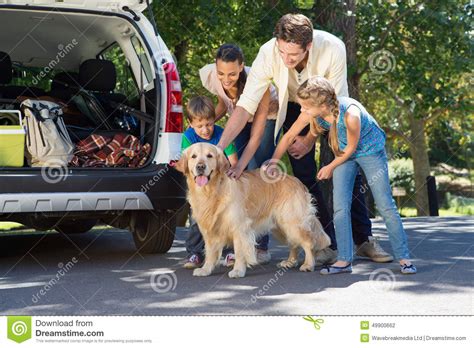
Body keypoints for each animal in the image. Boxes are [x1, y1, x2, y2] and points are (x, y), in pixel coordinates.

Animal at [173, 142, 330, 278]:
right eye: (193, 156)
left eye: (209, 156)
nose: (200, 166)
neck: (212, 190)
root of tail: (297, 182)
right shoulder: (210, 229)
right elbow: (210, 251)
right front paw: (206, 269)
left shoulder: (240, 228)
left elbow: (239, 251)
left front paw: (238, 270)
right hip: (280, 226)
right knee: (294, 243)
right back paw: (290, 262)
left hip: (292, 222)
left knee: (308, 242)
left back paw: (308, 264)